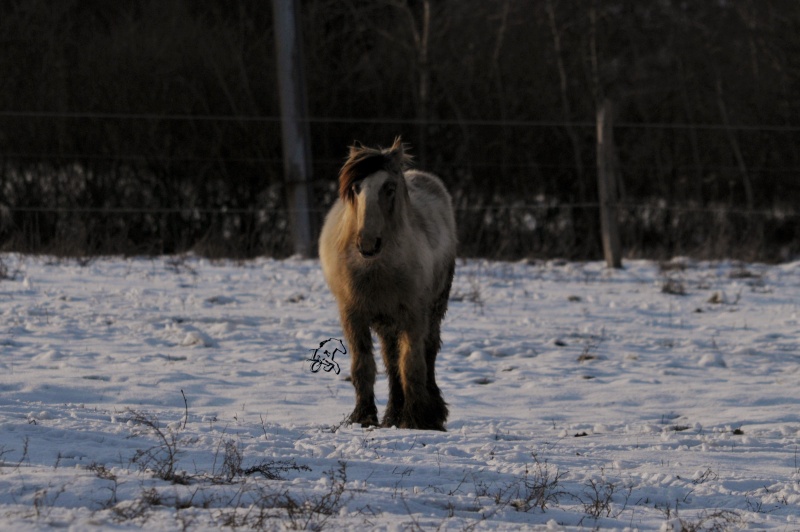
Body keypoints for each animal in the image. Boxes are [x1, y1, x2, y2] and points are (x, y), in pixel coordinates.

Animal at [318, 138, 456, 432]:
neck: (377, 268)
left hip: (432, 311)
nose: (367, 244)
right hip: (386, 322)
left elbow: (412, 365)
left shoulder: (414, 315)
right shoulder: (353, 315)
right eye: (356, 187)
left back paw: (430, 412)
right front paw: (364, 416)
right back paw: (393, 413)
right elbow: (364, 366)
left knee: (427, 354)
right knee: (390, 361)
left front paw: (416, 419)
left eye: (389, 188)